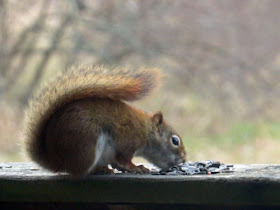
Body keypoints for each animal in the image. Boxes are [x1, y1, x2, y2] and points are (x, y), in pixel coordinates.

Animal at [24, 65, 186, 176]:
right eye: (175, 141)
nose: (184, 159)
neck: (145, 130)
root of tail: (57, 160)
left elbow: (117, 162)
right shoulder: (127, 141)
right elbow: (123, 159)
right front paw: (136, 167)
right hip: (87, 144)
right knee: (80, 171)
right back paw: (98, 170)